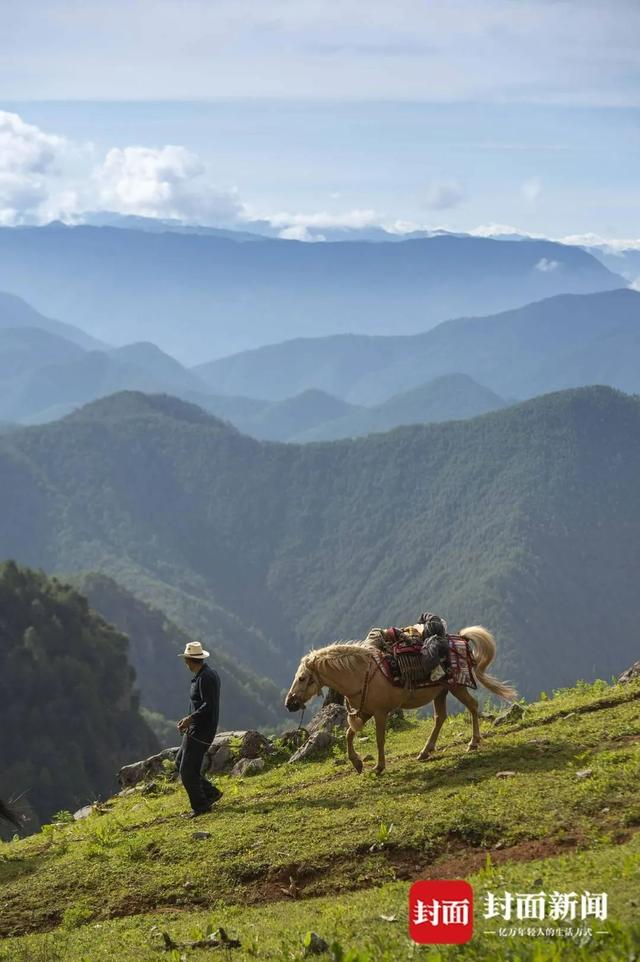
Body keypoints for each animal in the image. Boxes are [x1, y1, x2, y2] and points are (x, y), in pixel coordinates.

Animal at [284, 628, 516, 776]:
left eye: (302, 678)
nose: (289, 703)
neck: (361, 674)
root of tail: (461, 638)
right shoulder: (365, 712)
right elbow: (349, 735)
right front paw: (357, 764)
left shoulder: (380, 713)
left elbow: (379, 739)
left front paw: (378, 767)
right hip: (441, 692)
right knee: (440, 717)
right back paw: (425, 752)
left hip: (456, 687)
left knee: (472, 706)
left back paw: (473, 742)